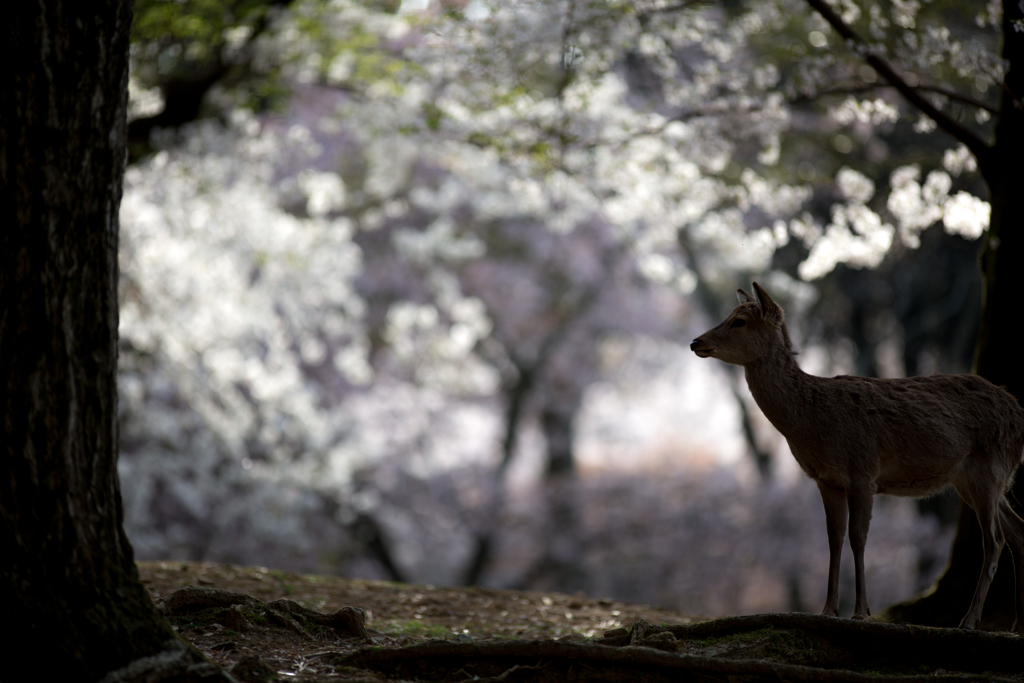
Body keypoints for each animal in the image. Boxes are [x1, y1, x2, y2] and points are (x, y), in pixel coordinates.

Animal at [688, 282, 1024, 630]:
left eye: (738, 321)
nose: (695, 342)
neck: (812, 422)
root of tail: (1019, 414)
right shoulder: (827, 480)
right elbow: (833, 538)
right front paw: (828, 609)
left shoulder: (862, 471)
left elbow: (858, 537)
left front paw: (862, 611)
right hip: (974, 480)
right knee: (1018, 530)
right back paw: (1016, 624)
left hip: (989, 469)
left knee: (994, 540)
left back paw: (969, 620)